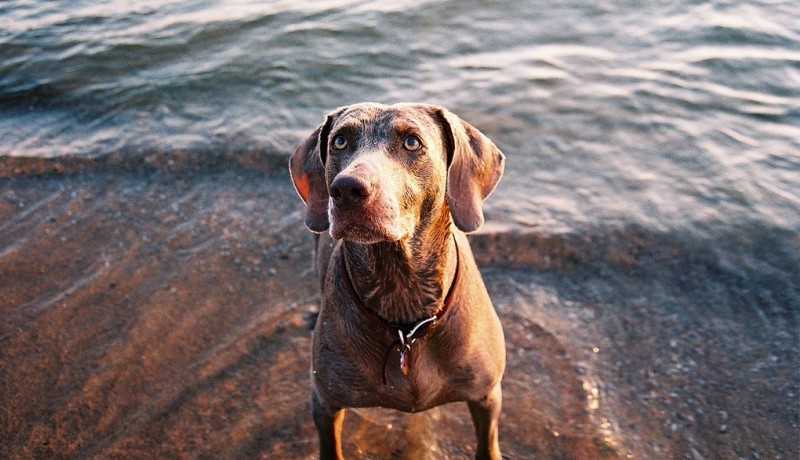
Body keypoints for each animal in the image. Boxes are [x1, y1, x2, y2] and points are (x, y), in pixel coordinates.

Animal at [290, 102, 506, 458]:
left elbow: (487, 443)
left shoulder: (486, 397)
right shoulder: (324, 402)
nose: (347, 188)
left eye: (412, 143)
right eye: (340, 142)